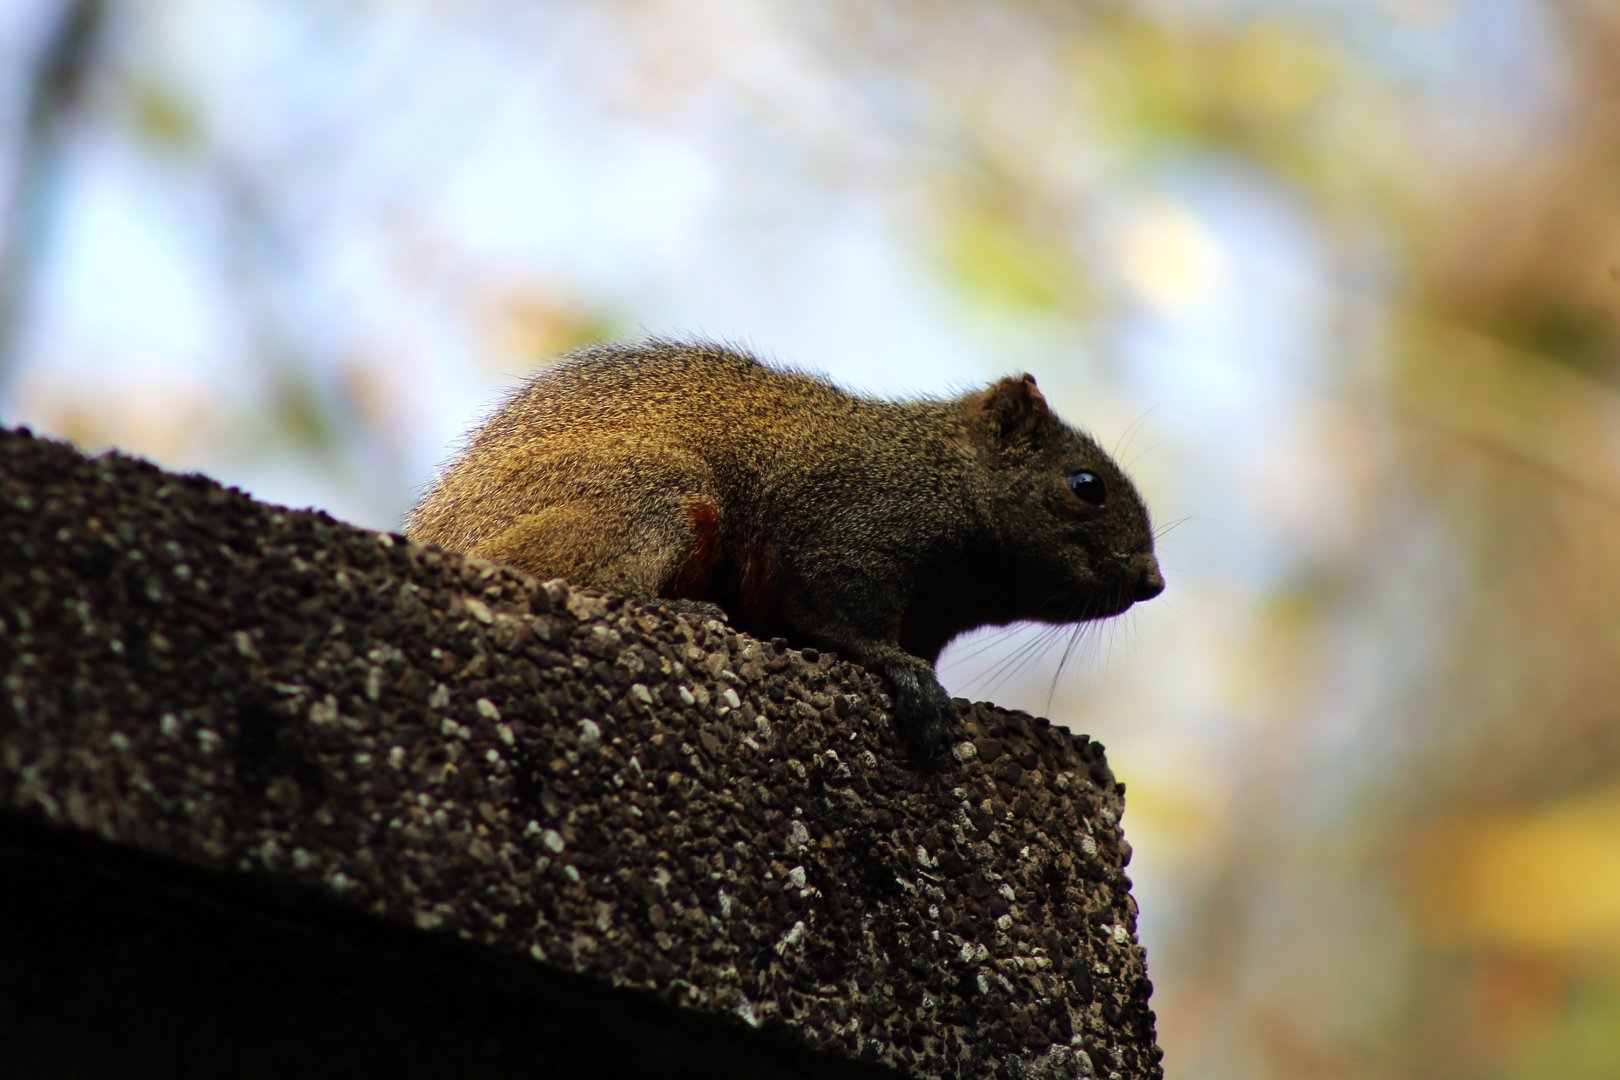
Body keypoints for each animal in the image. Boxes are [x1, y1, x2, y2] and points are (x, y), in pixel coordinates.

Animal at [405, 339, 1164, 759]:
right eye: (1086, 486)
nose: (1152, 582)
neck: (937, 472)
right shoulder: (849, 532)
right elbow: (839, 615)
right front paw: (909, 680)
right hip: (644, 499)